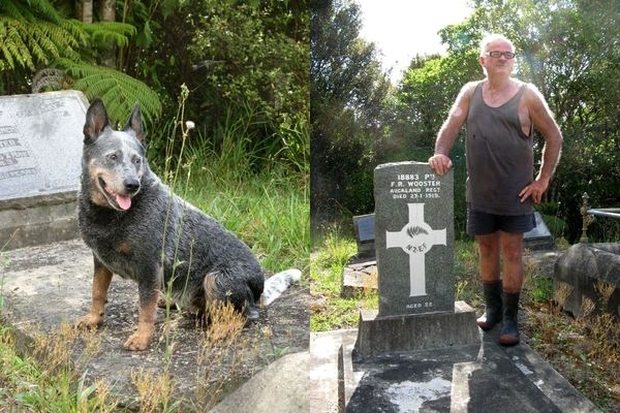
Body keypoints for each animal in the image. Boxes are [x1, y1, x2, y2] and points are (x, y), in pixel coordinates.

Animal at [75, 98, 264, 350]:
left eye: (137, 160)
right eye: (112, 156)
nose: (132, 185)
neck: (111, 215)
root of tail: (261, 285)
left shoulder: (149, 266)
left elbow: (145, 308)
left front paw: (142, 338)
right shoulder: (100, 260)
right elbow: (97, 291)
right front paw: (94, 318)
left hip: (216, 279)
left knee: (241, 317)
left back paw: (220, 331)